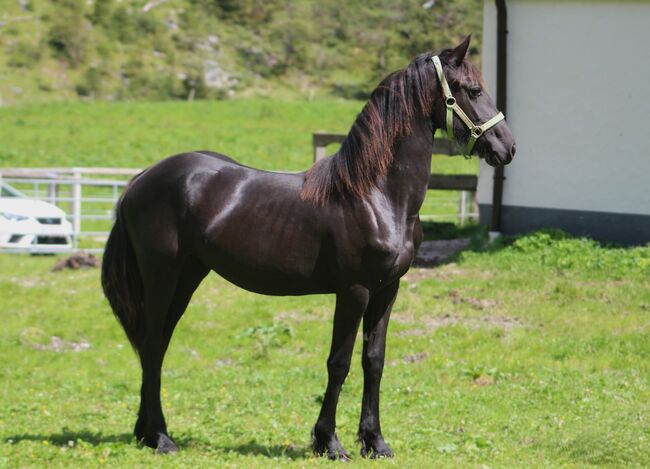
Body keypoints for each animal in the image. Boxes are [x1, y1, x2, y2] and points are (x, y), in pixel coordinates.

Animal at [102, 35, 512, 458]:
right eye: (473, 90)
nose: (507, 147)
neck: (377, 196)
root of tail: (140, 180)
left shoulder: (387, 290)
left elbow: (374, 360)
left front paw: (375, 441)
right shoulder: (354, 291)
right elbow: (339, 362)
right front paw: (328, 441)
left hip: (187, 276)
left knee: (156, 343)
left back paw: (146, 431)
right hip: (162, 276)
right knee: (152, 343)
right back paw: (161, 437)